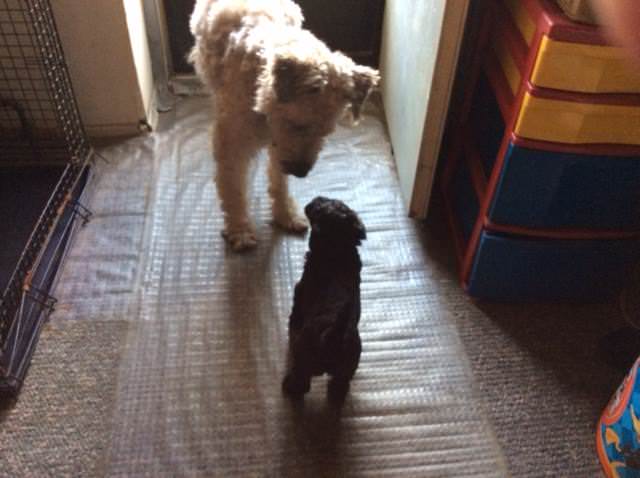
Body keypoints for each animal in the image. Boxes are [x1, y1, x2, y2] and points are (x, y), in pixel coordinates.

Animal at [282, 196, 364, 402]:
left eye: (319, 206)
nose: (315, 199)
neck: (337, 250)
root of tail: (332, 337)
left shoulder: (300, 289)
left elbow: (295, 312)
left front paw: (291, 324)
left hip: (304, 357)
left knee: (301, 381)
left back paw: (288, 386)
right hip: (348, 365)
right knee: (340, 386)